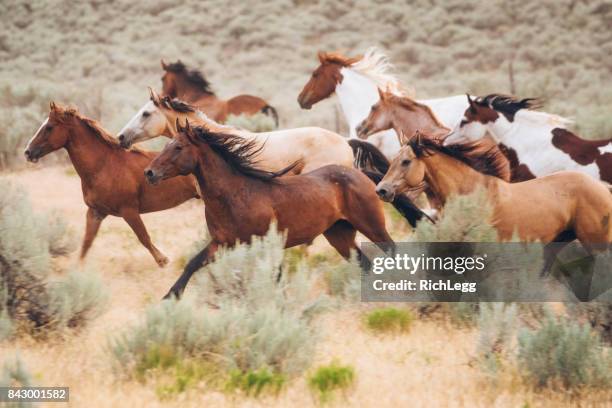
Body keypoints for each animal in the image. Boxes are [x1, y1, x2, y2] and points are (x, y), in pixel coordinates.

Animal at [25, 103, 200, 266]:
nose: (28, 152)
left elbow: (144, 237)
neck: (103, 165)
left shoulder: (129, 211)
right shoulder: (95, 212)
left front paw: (164, 261)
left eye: (49, 127)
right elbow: (86, 245)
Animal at [146, 122, 396, 298]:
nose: (149, 173)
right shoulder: (221, 243)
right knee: (364, 263)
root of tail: (361, 174)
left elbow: (275, 275)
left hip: (372, 226)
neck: (235, 194)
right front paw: (170, 297)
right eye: (166, 144)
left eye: (178, 147)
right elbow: (193, 264)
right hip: (339, 235)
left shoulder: (266, 242)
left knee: (391, 251)